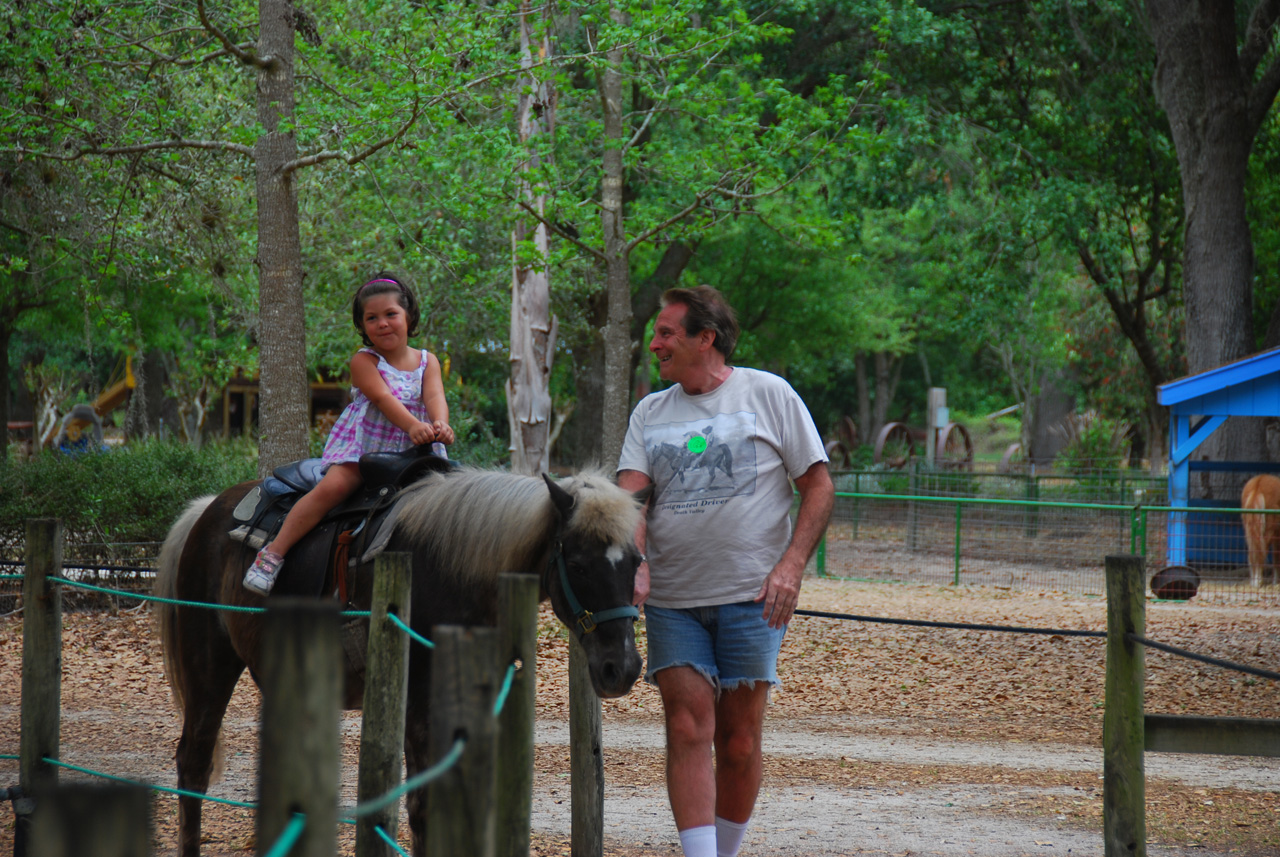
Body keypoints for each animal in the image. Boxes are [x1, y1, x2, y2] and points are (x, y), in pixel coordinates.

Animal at [154, 470, 645, 857]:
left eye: (637, 561)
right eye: (577, 565)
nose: (621, 668)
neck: (454, 570)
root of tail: (205, 511)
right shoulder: (418, 708)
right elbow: (422, 805)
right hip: (209, 668)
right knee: (193, 764)